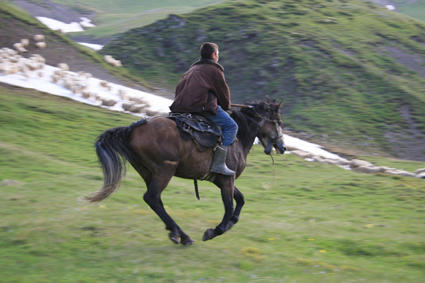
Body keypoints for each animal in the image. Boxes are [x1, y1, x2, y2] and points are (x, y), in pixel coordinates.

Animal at [85, 100, 284, 246]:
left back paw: (180, 234)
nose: (283, 147)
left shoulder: (223, 180)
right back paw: (180, 235)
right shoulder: (227, 179)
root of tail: (132, 129)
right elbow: (229, 206)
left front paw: (229, 224)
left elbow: (240, 200)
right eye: (279, 121)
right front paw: (214, 231)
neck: (238, 138)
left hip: (148, 172)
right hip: (164, 170)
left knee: (155, 201)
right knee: (152, 198)